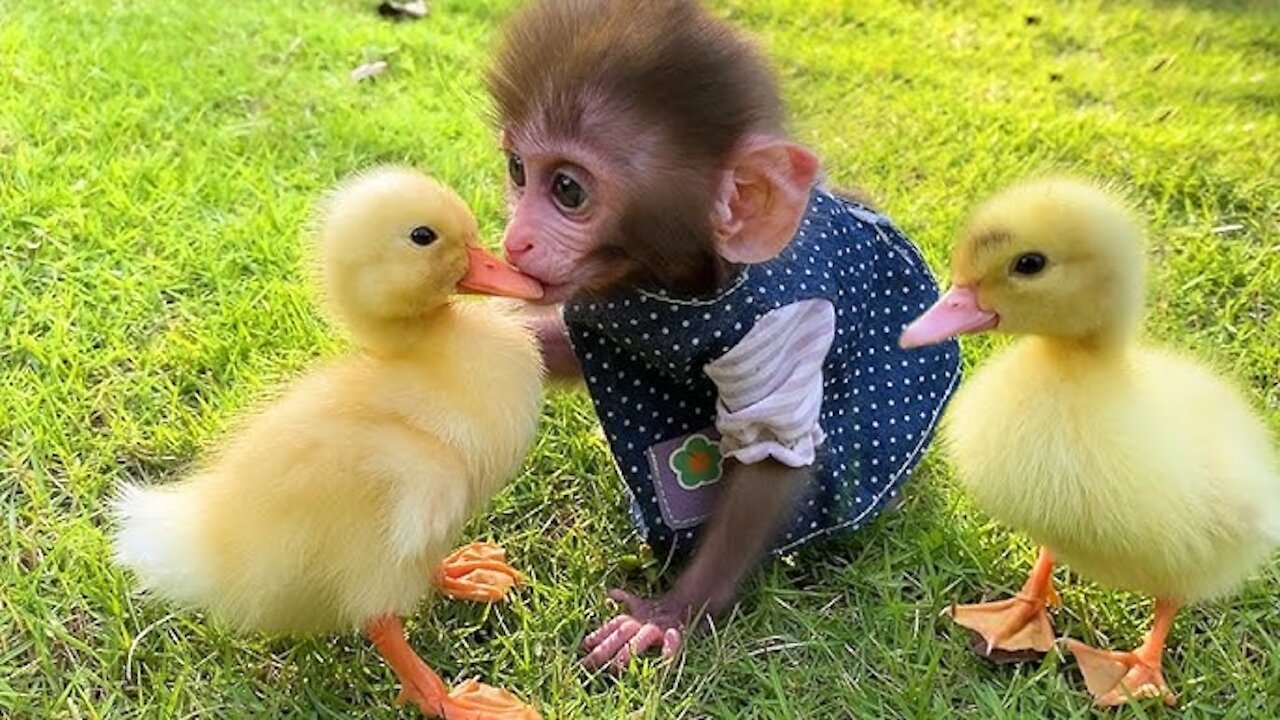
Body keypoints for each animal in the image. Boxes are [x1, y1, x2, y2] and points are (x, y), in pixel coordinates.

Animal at [488, 0, 962, 666]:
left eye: (567, 190)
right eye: (517, 170)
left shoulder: (783, 325)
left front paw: (669, 613)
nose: (515, 241)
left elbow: (771, 452)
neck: (677, 283)